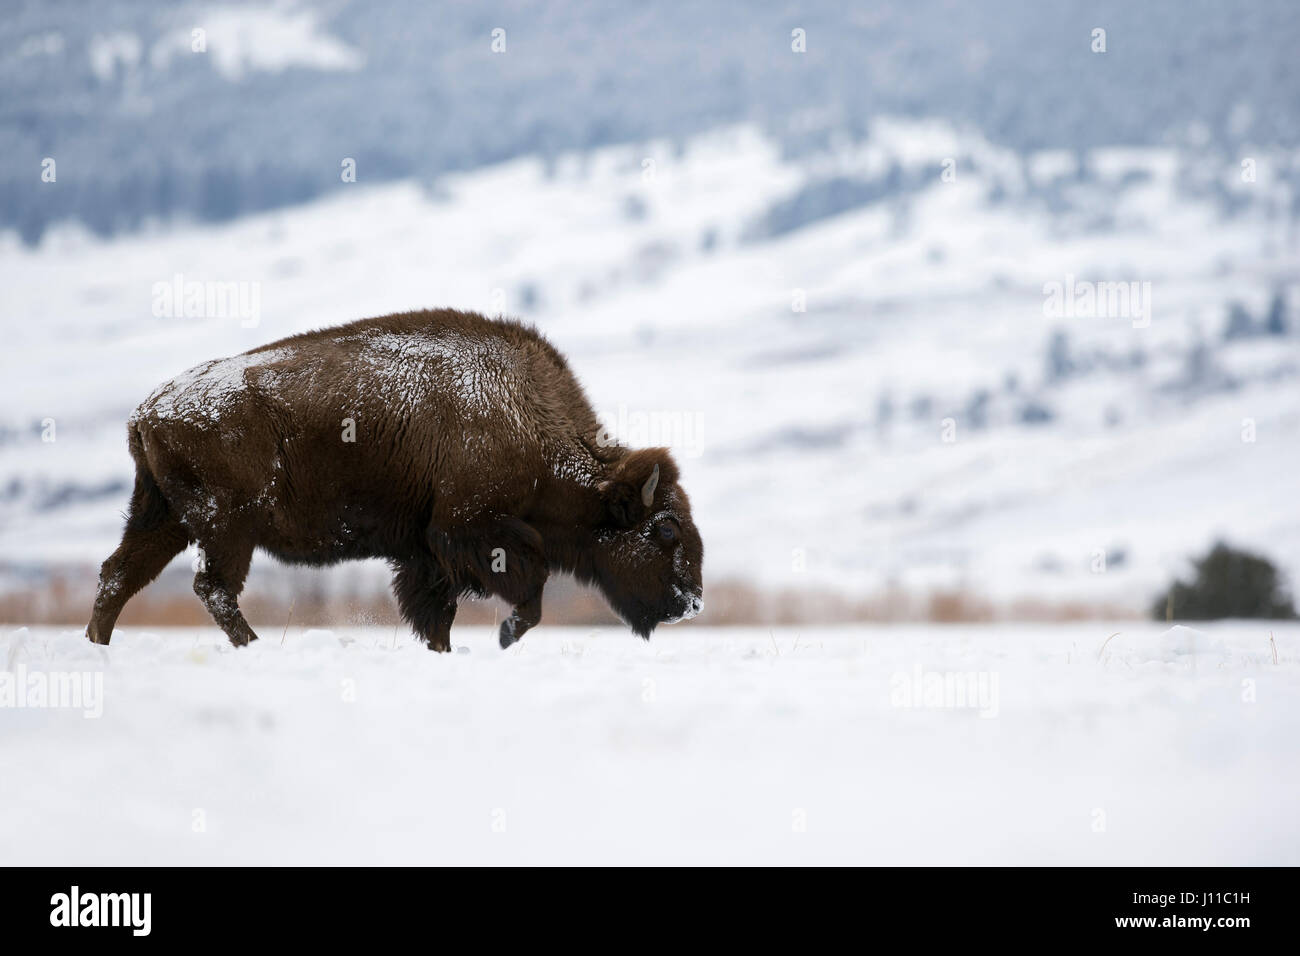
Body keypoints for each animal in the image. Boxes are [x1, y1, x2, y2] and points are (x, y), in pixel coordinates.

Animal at [86, 310, 707, 655]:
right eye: (666, 531)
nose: (693, 603)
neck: (524, 416)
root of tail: (148, 410)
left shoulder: (428, 555)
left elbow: (437, 614)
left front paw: (447, 651)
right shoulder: (473, 534)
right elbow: (529, 596)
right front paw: (505, 636)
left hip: (164, 516)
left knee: (121, 574)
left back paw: (97, 646)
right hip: (226, 526)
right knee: (211, 588)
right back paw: (255, 648)